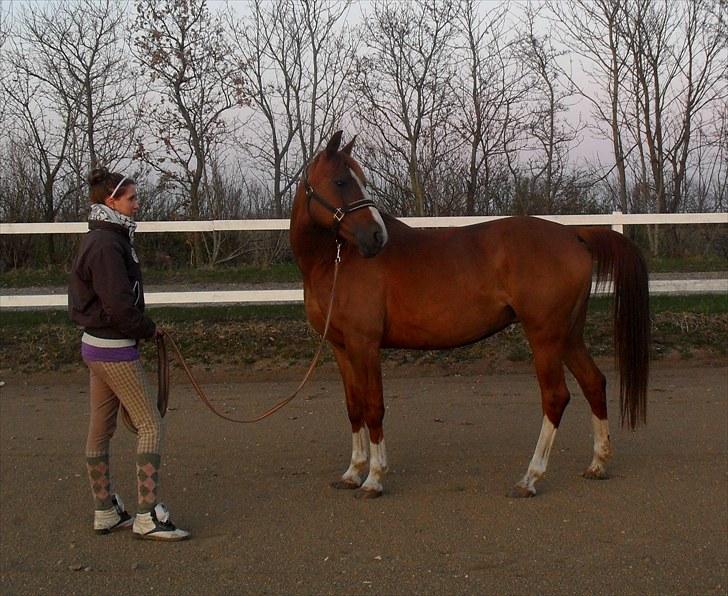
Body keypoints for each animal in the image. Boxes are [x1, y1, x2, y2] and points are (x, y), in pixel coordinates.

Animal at [290, 130, 648, 498]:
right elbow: (354, 407)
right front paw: (352, 472)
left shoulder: (365, 344)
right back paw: (597, 464)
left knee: (555, 397)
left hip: (545, 337)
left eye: (358, 181)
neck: (335, 262)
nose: (377, 237)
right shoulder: (341, 347)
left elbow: (374, 407)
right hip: (569, 335)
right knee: (594, 383)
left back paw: (530, 478)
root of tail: (572, 233)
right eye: (341, 180)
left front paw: (374, 478)